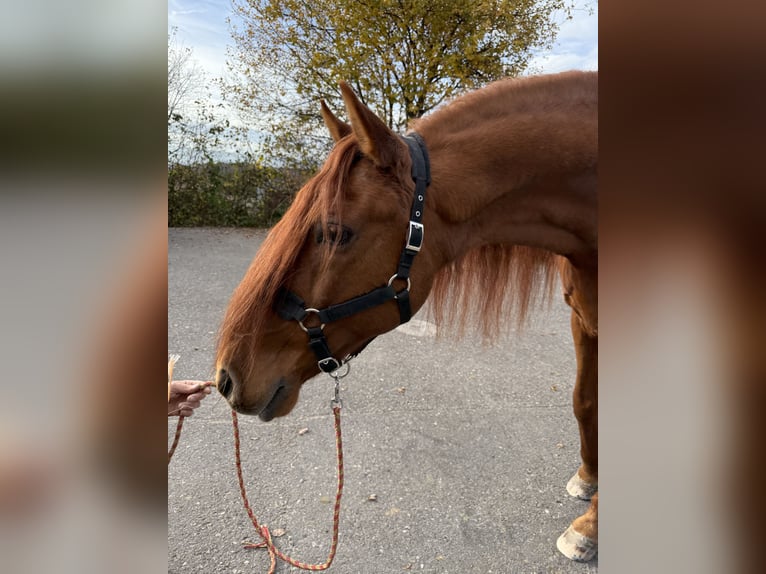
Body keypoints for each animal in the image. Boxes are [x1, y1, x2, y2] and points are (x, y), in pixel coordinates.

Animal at [215, 70, 598, 562]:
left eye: (335, 232)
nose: (226, 378)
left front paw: (588, 528)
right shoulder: (582, 319)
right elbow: (584, 402)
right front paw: (588, 482)